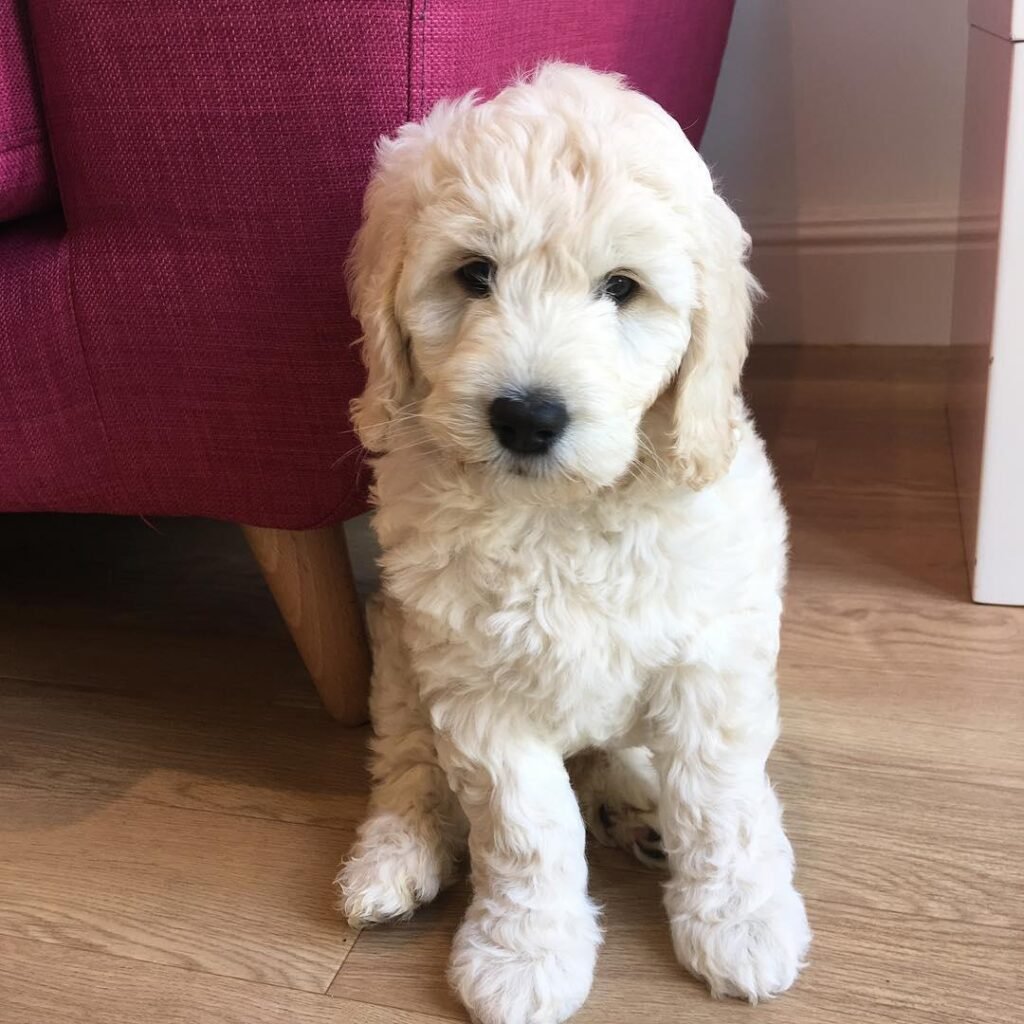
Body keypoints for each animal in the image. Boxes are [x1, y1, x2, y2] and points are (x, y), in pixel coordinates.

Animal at [337, 63, 810, 1024]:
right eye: (474, 273)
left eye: (622, 287)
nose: (527, 415)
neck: (561, 513)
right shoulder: (473, 688)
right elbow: (527, 828)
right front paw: (523, 954)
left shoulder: (711, 660)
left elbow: (720, 799)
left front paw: (741, 922)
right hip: (398, 658)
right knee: (405, 763)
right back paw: (396, 858)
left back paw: (638, 804)